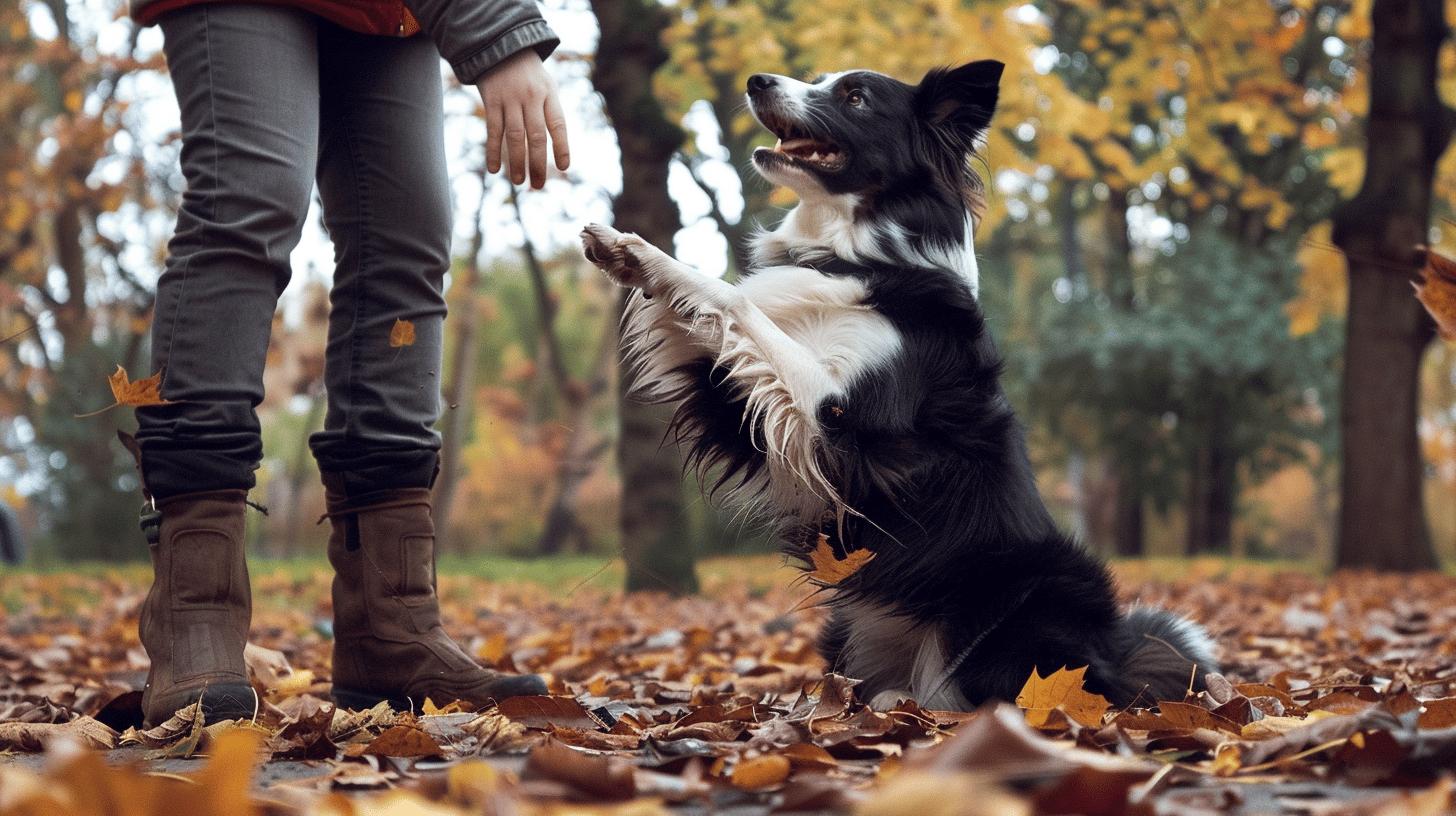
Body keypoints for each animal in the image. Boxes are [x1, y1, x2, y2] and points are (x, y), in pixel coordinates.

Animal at [579, 59, 1217, 708]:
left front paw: (646, 256)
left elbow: (734, 300)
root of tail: (1115, 662)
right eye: (818, 78)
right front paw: (631, 257)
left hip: (1020, 609)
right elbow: (712, 319)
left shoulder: (843, 423)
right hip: (850, 629)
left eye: (855, 97)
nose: (757, 81)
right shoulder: (743, 412)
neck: (861, 254)